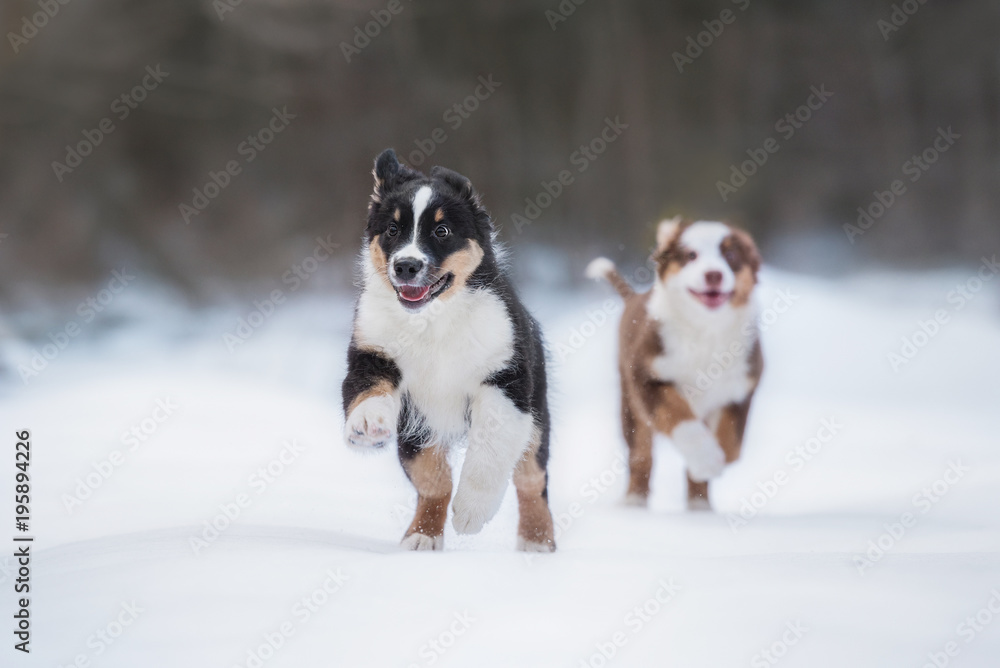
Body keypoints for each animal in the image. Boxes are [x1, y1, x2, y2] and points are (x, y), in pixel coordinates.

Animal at [342, 149, 556, 552]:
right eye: (392, 230)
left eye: (442, 231)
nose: (406, 266)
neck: (433, 319)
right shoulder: (374, 356)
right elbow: (430, 474)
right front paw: (366, 425)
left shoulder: (506, 379)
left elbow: (490, 449)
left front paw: (472, 512)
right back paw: (420, 537)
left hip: (537, 411)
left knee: (532, 478)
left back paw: (537, 541)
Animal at [584, 217, 764, 508]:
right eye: (691, 255)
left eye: (731, 256)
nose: (714, 274)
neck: (704, 331)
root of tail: (633, 297)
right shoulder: (647, 377)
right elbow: (681, 419)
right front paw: (706, 459)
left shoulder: (741, 386)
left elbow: (732, 443)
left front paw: (710, 464)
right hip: (629, 404)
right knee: (641, 454)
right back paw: (633, 502)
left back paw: (700, 506)